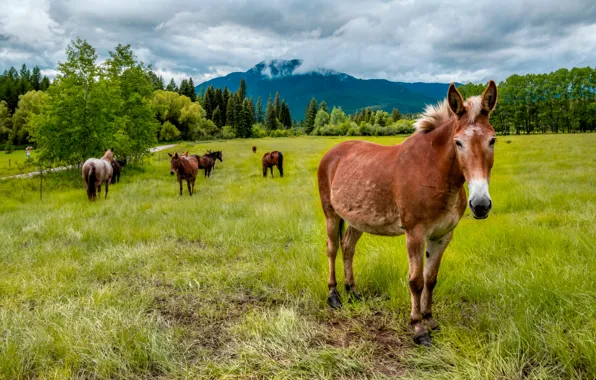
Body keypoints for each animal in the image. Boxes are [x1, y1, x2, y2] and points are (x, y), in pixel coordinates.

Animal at [318, 81, 500, 346]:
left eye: (492, 140)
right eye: (458, 143)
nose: (480, 204)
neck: (433, 173)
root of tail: (332, 153)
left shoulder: (443, 236)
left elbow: (431, 279)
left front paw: (430, 319)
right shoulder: (415, 235)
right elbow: (416, 281)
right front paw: (418, 328)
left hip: (356, 220)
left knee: (348, 248)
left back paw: (352, 291)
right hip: (331, 214)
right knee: (332, 249)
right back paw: (334, 295)